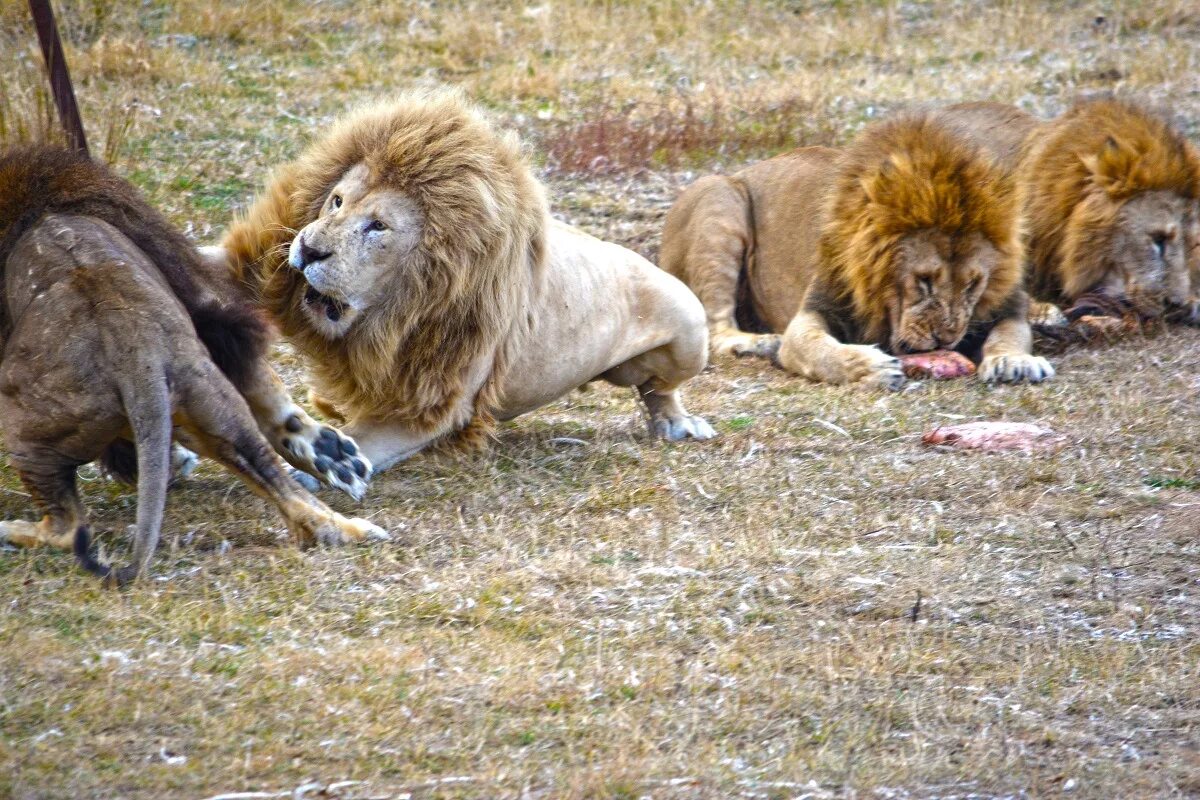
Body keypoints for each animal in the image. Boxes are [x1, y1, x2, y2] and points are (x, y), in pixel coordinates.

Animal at [0, 143, 384, 585]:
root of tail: (138, 353)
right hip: (213, 409)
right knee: (278, 479)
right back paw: (347, 522)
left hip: (26, 431)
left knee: (68, 527)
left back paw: (11, 531)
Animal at [207, 92, 715, 474]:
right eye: (336, 202)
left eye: (378, 226)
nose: (308, 250)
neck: (392, 311)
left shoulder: (427, 401)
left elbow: (357, 441)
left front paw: (322, 460)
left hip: (690, 329)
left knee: (659, 389)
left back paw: (677, 424)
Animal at [662, 110, 1056, 391]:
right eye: (924, 280)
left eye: (974, 284)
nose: (945, 339)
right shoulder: (812, 312)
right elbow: (818, 350)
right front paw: (870, 366)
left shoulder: (1006, 305)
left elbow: (1010, 333)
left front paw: (1014, 362)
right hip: (719, 199)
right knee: (715, 330)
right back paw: (757, 343)